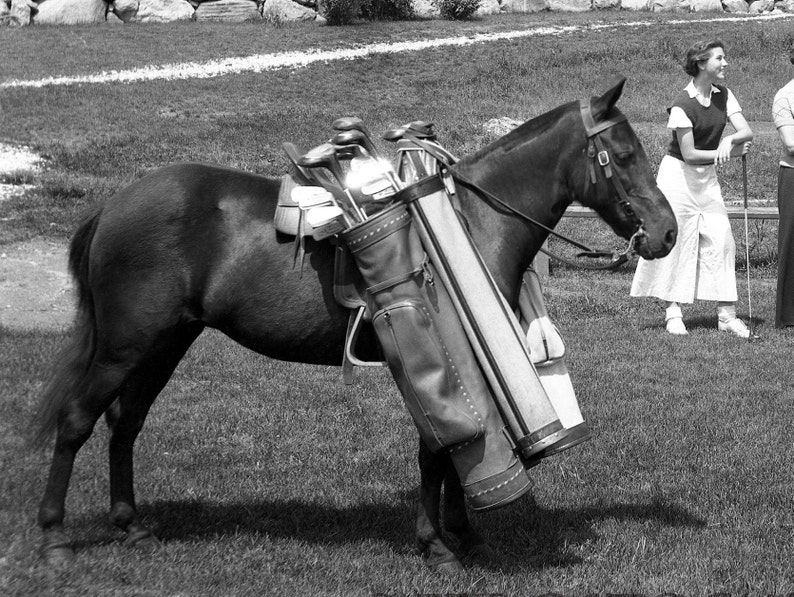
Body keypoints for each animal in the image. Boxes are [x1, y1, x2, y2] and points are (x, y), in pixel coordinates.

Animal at [32, 78, 676, 572]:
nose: (667, 233)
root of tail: (112, 206)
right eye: (623, 155)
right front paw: (438, 545)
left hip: (164, 344)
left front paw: (464, 535)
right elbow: (438, 450)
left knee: (125, 422)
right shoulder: (433, 355)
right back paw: (55, 536)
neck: (469, 219)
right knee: (77, 420)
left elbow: (459, 449)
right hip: (124, 346)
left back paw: (130, 525)